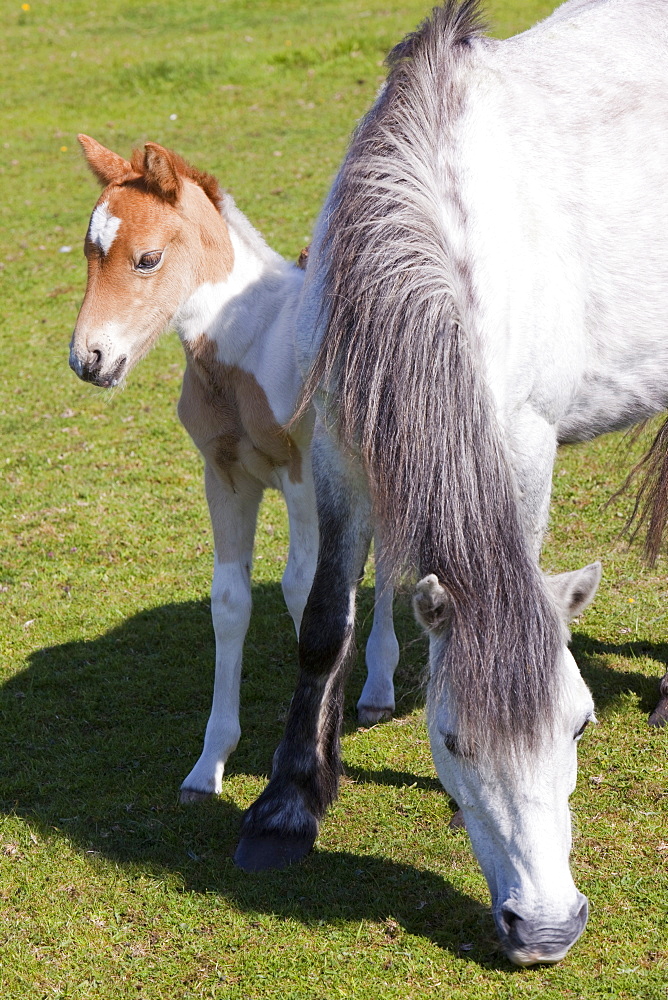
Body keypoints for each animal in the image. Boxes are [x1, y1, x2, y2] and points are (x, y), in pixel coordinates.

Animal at [70, 137, 400, 800]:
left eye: (147, 259)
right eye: (89, 253)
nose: (88, 359)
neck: (247, 347)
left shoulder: (302, 478)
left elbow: (304, 590)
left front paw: (312, 747)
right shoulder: (222, 477)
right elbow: (229, 602)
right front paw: (209, 765)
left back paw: (380, 687)